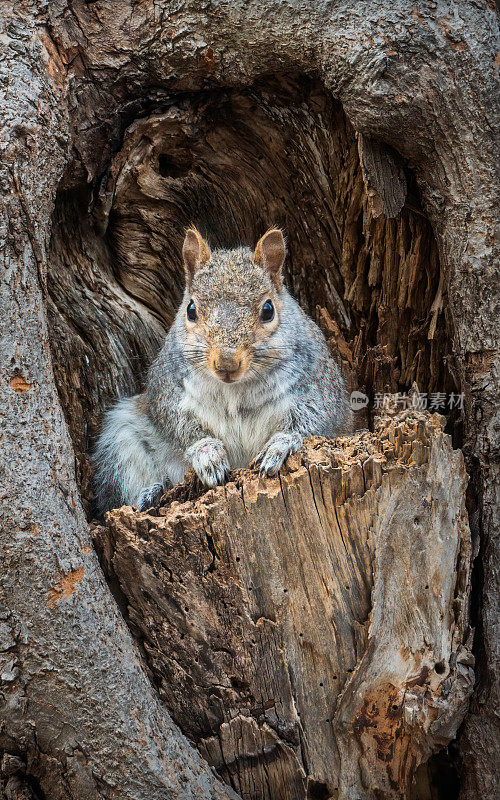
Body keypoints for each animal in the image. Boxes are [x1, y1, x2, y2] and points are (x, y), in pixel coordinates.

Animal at [94, 227, 352, 512]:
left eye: (268, 310)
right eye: (191, 310)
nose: (227, 364)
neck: (235, 388)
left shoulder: (318, 384)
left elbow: (314, 422)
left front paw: (280, 446)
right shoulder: (167, 387)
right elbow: (177, 423)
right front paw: (207, 453)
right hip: (122, 440)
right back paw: (150, 494)